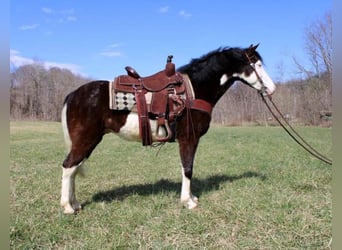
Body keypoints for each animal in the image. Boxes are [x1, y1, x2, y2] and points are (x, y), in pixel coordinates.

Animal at [60, 44, 276, 214]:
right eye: (257, 65)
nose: (272, 89)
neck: (194, 91)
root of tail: (73, 94)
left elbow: (187, 167)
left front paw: (191, 197)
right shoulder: (189, 138)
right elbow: (187, 168)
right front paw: (188, 202)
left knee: (74, 168)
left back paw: (75, 203)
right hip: (86, 140)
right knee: (69, 166)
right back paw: (68, 207)